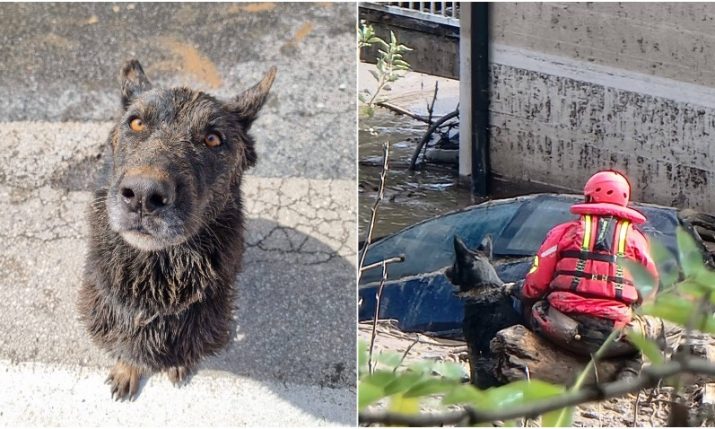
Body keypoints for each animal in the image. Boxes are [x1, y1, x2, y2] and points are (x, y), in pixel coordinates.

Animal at [78, 59, 276, 398]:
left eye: (213, 139)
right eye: (136, 123)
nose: (142, 195)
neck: (156, 278)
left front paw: (178, 365)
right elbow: (129, 349)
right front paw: (127, 368)